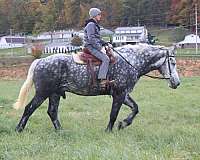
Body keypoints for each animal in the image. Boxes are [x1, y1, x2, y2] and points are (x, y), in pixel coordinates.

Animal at [13, 43, 180, 132]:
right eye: (172, 62)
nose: (177, 83)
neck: (130, 61)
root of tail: (40, 61)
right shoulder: (119, 94)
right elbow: (113, 114)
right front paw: (109, 130)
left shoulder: (124, 94)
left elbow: (135, 108)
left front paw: (123, 124)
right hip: (42, 93)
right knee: (29, 108)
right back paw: (19, 129)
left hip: (54, 94)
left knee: (52, 112)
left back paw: (61, 131)